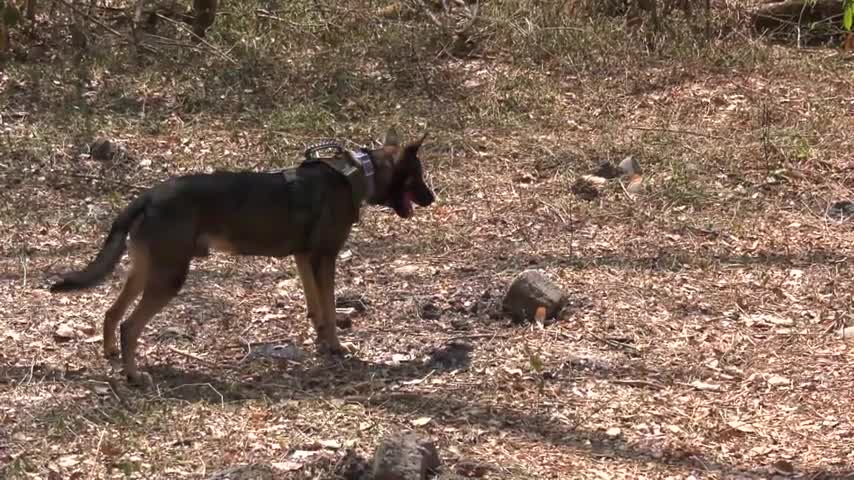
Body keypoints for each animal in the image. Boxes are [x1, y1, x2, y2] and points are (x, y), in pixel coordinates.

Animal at [48, 130, 434, 386]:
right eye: (417, 176)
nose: (433, 198)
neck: (358, 173)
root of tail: (149, 196)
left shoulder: (303, 258)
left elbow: (316, 309)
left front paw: (322, 340)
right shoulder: (325, 258)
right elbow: (327, 307)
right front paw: (336, 346)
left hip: (145, 270)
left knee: (112, 312)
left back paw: (111, 354)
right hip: (169, 276)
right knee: (130, 325)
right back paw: (133, 374)